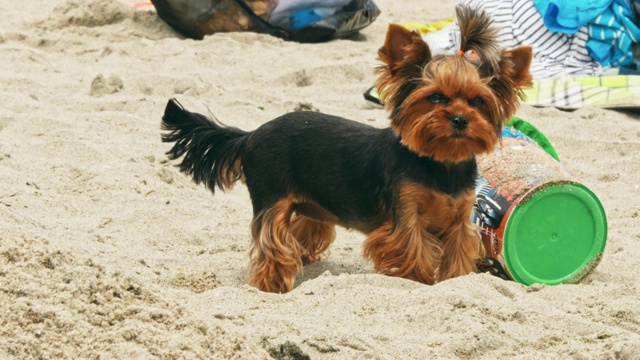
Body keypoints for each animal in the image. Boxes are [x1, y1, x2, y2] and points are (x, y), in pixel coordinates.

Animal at [162, 7, 532, 294]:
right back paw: (272, 284)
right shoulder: (405, 218)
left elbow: (456, 257)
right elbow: (414, 253)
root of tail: (251, 135)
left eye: (478, 102)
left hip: (310, 205)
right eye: (436, 97)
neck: (440, 163)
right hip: (272, 199)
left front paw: (454, 281)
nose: (459, 119)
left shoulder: (459, 219)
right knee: (272, 243)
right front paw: (422, 281)